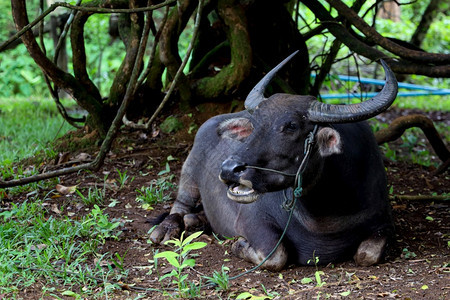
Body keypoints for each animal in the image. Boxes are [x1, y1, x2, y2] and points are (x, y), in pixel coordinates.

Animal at [151, 52, 398, 270]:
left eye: (291, 126)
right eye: (255, 124)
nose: (230, 169)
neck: (327, 214)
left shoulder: (383, 223)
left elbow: (368, 254)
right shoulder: (255, 221)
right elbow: (275, 254)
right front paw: (238, 244)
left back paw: (196, 220)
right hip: (189, 174)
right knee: (180, 205)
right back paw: (167, 229)